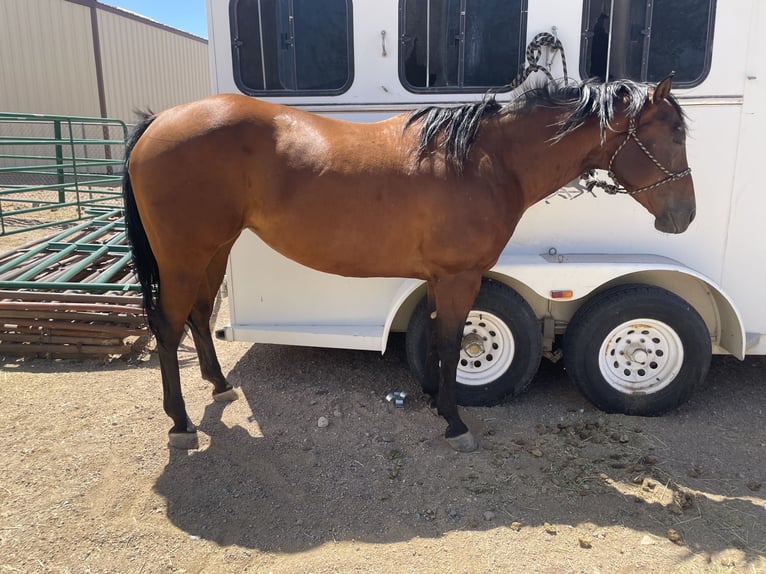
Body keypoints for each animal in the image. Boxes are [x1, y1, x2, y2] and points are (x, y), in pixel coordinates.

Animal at [122, 75, 694, 452]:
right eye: (674, 133)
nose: (684, 215)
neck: (485, 161)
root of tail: (159, 122)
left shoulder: (442, 277)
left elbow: (441, 338)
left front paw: (437, 401)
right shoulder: (460, 275)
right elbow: (454, 341)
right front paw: (456, 423)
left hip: (212, 250)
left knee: (197, 315)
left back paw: (219, 385)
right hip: (182, 256)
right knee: (168, 327)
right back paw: (180, 424)